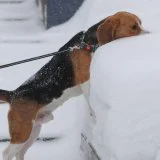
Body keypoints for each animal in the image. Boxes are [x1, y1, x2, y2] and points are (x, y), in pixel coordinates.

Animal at [0, 11, 145, 160]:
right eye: (133, 27)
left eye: (140, 23)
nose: (148, 34)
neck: (89, 43)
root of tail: (13, 94)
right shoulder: (86, 81)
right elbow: (91, 102)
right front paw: (94, 116)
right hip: (22, 132)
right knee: (7, 152)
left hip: (34, 131)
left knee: (20, 152)